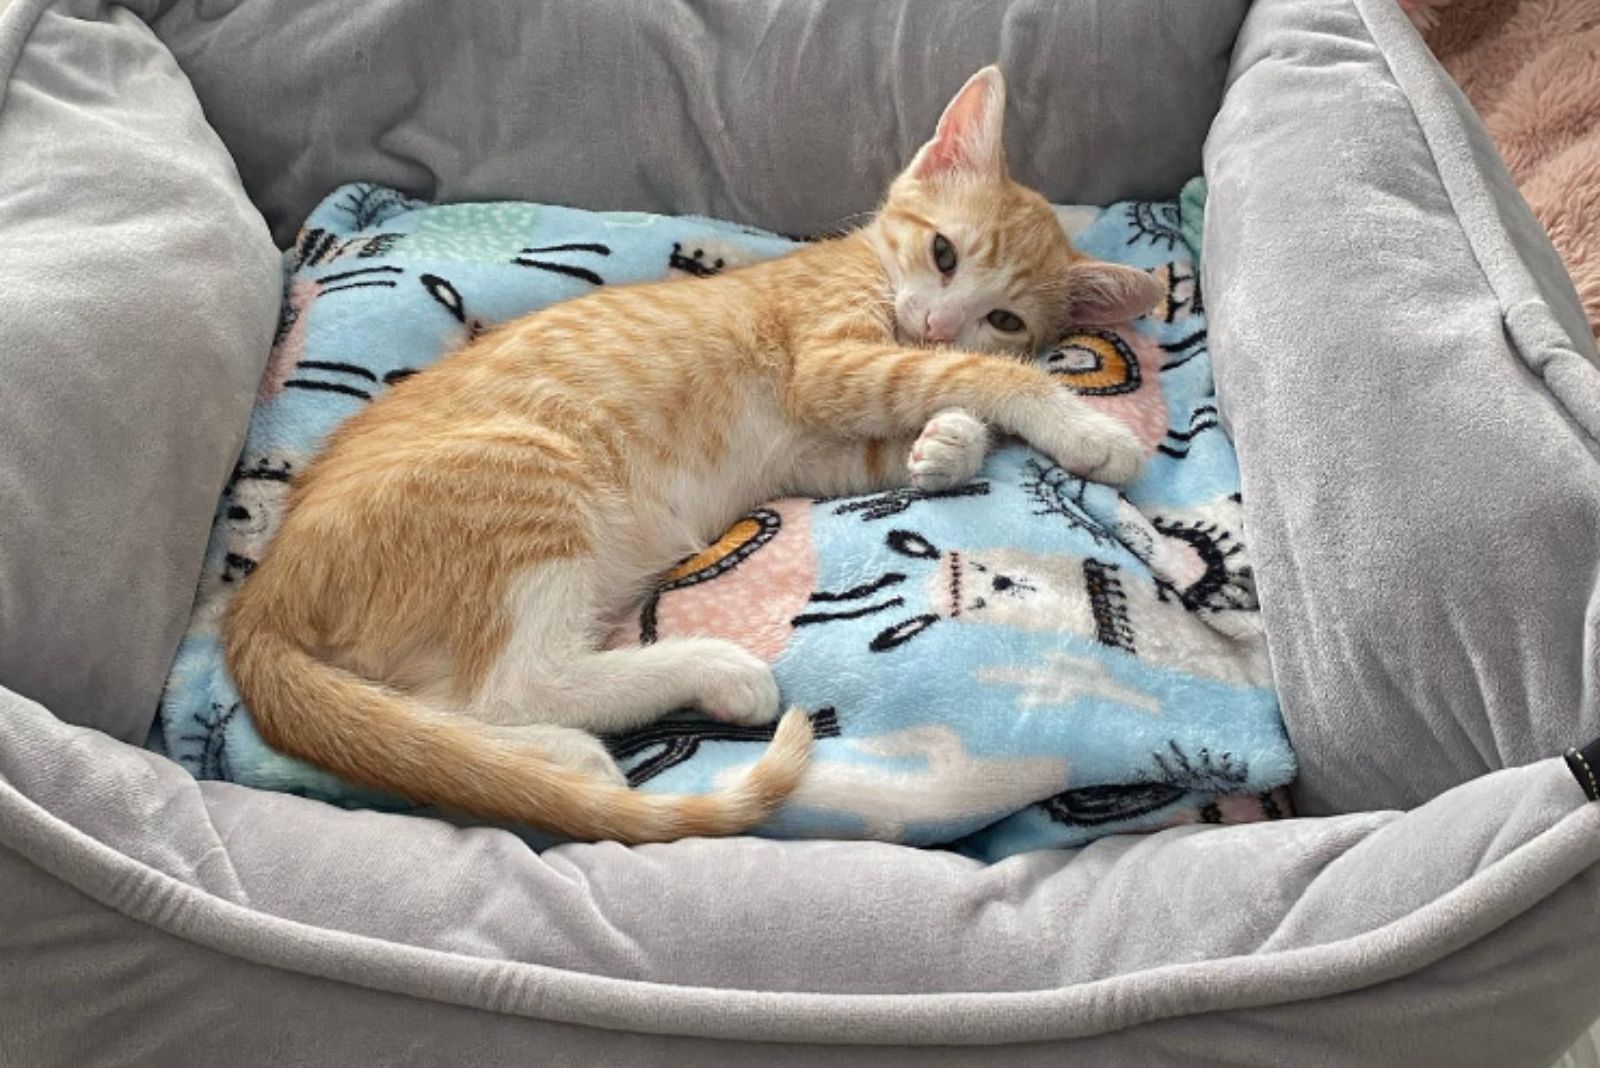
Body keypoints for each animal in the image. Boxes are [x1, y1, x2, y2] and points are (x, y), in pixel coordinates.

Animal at [222, 68, 1164, 850]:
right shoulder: (827, 363)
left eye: (1005, 317)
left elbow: (930, 410)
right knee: (511, 685)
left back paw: (549, 762)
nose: (936, 321)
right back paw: (704, 673)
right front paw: (1084, 429)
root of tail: (259, 598)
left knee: (442, 711)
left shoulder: (818, 451)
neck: (860, 268)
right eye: (943, 253)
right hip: (531, 474)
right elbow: (969, 377)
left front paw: (946, 445)